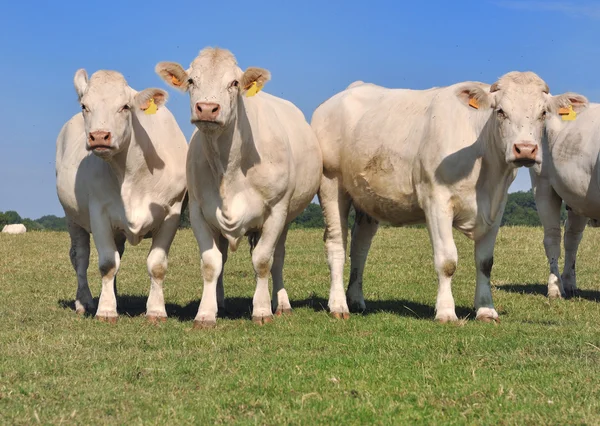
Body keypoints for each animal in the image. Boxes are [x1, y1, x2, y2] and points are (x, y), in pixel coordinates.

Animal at [56, 70, 188, 322]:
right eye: (85, 106)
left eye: (125, 107)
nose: (99, 136)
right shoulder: (98, 211)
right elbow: (107, 263)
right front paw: (106, 310)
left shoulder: (172, 212)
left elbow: (157, 264)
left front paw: (156, 310)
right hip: (72, 218)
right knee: (80, 257)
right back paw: (84, 301)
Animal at [157, 47, 322, 326]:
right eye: (191, 80)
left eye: (234, 83)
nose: (207, 109)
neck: (229, 166)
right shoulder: (199, 211)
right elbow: (211, 263)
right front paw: (206, 313)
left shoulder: (277, 209)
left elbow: (264, 260)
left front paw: (263, 310)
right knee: (223, 256)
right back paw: (220, 303)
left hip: (287, 217)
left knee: (278, 258)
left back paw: (282, 304)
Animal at [312, 71, 580, 322]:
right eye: (500, 111)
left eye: (543, 113)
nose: (525, 149)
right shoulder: (436, 201)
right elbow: (447, 260)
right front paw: (446, 312)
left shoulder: (497, 206)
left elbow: (485, 262)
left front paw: (486, 310)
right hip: (331, 183)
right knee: (336, 243)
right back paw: (338, 305)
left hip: (368, 197)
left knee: (360, 245)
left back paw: (356, 300)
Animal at [528, 95, 592, 298]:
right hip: (543, 186)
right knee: (552, 238)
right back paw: (555, 289)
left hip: (579, 198)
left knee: (572, 238)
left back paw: (569, 283)